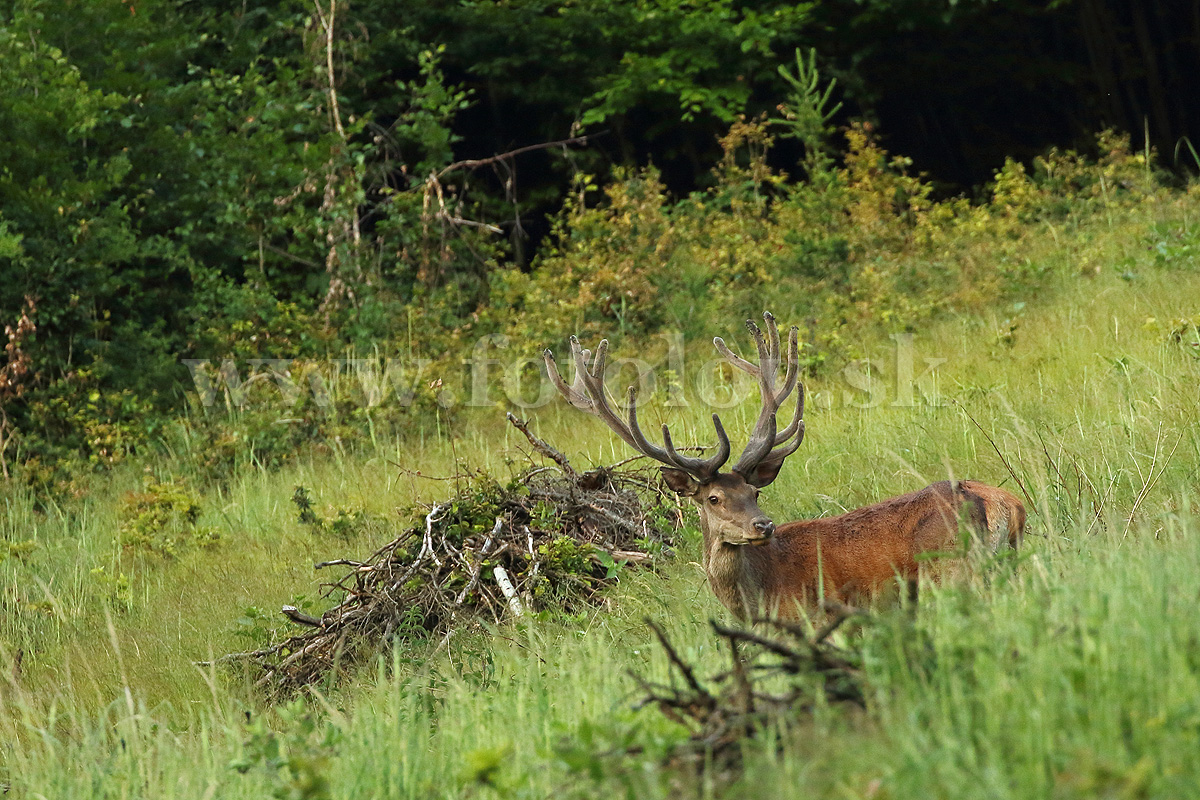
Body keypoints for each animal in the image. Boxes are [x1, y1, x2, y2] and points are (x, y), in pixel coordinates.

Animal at [544, 311, 1022, 618]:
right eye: (713, 497)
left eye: (754, 491)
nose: (763, 525)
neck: (758, 599)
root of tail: (1004, 505)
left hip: (954, 573)